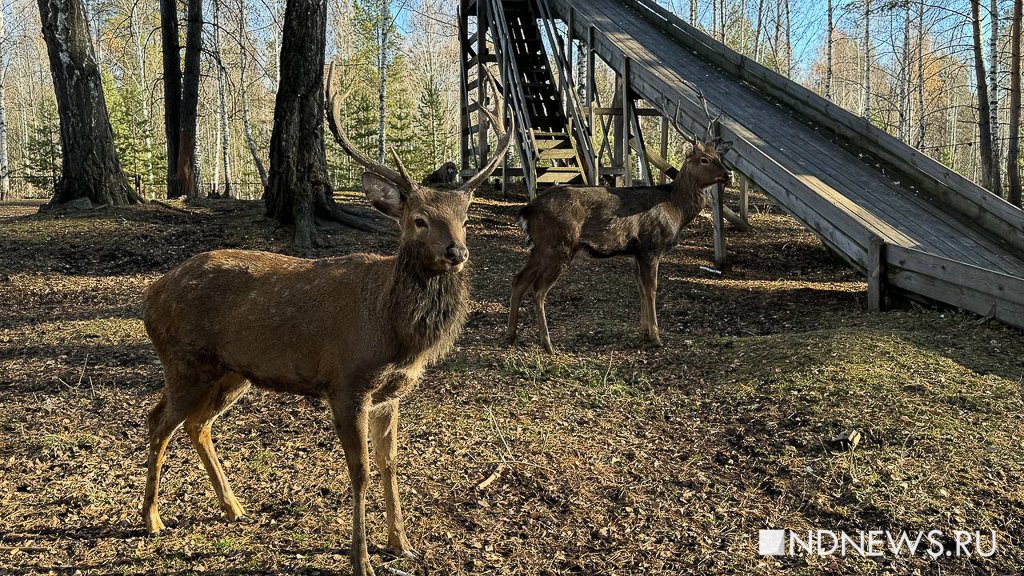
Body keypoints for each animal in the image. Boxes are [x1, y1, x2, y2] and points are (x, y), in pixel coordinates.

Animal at [142, 63, 509, 573]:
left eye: (465, 217)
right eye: (418, 219)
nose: (457, 252)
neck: (393, 330)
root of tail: (149, 295)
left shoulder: (390, 393)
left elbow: (391, 464)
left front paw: (401, 543)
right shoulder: (347, 382)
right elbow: (361, 473)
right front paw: (361, 558)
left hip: (232, 372)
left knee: (198, 424)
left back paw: (233, 507)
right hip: (183, 361)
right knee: (158, 421)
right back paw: (151, 519)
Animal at [507, 112, 733, 352]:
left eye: (718, 156)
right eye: (704, 159)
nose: (728, 174)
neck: (675, 209)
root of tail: (527, 210)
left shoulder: (635, 252)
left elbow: (641, 288)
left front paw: (645, 331)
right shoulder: (651, 245)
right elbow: (651, 289)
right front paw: (656, 337)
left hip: (541, 247)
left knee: (518, 279)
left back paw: (510, 335)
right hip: (559, 245)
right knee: (538, 289)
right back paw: (548, 344)